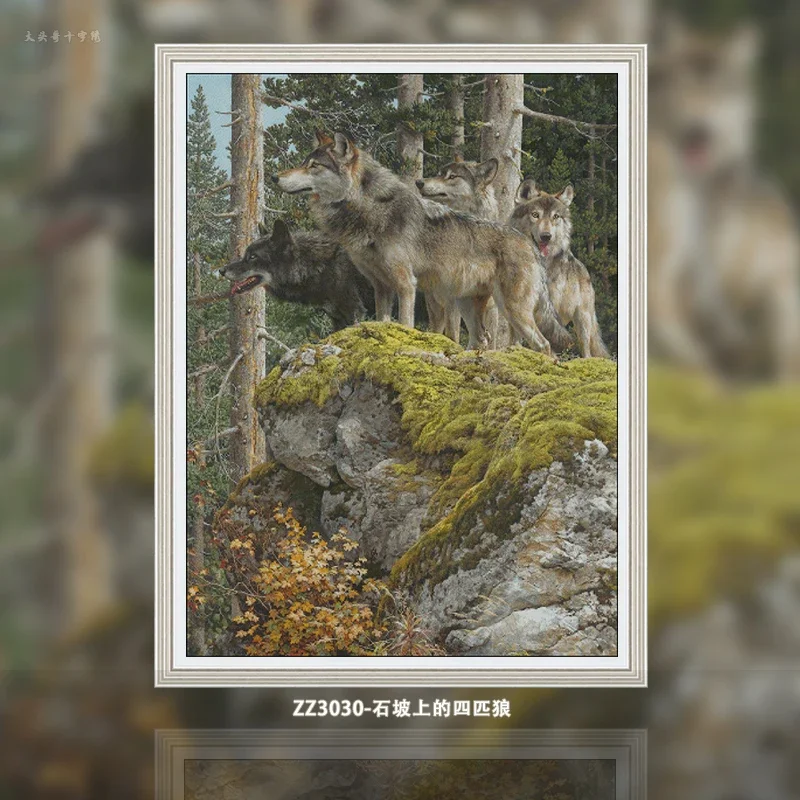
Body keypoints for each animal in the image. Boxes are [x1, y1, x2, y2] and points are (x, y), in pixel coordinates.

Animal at [273, 131, 572, 353]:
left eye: (314, 166)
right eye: (304, 162)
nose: (275, 177)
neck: (368, 210)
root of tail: (530, 245)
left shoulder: (407, 285)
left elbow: (406, 324)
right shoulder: (382, 287)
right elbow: (384, 320)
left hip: (512, 310)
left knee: (544, 344)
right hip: (470, 307)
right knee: (483, 341)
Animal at [511, 180, 610, 358]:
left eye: (555, 217)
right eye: (535, 214)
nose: (546, 236)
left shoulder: (549, 307)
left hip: (582, 320)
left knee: (586, 349)